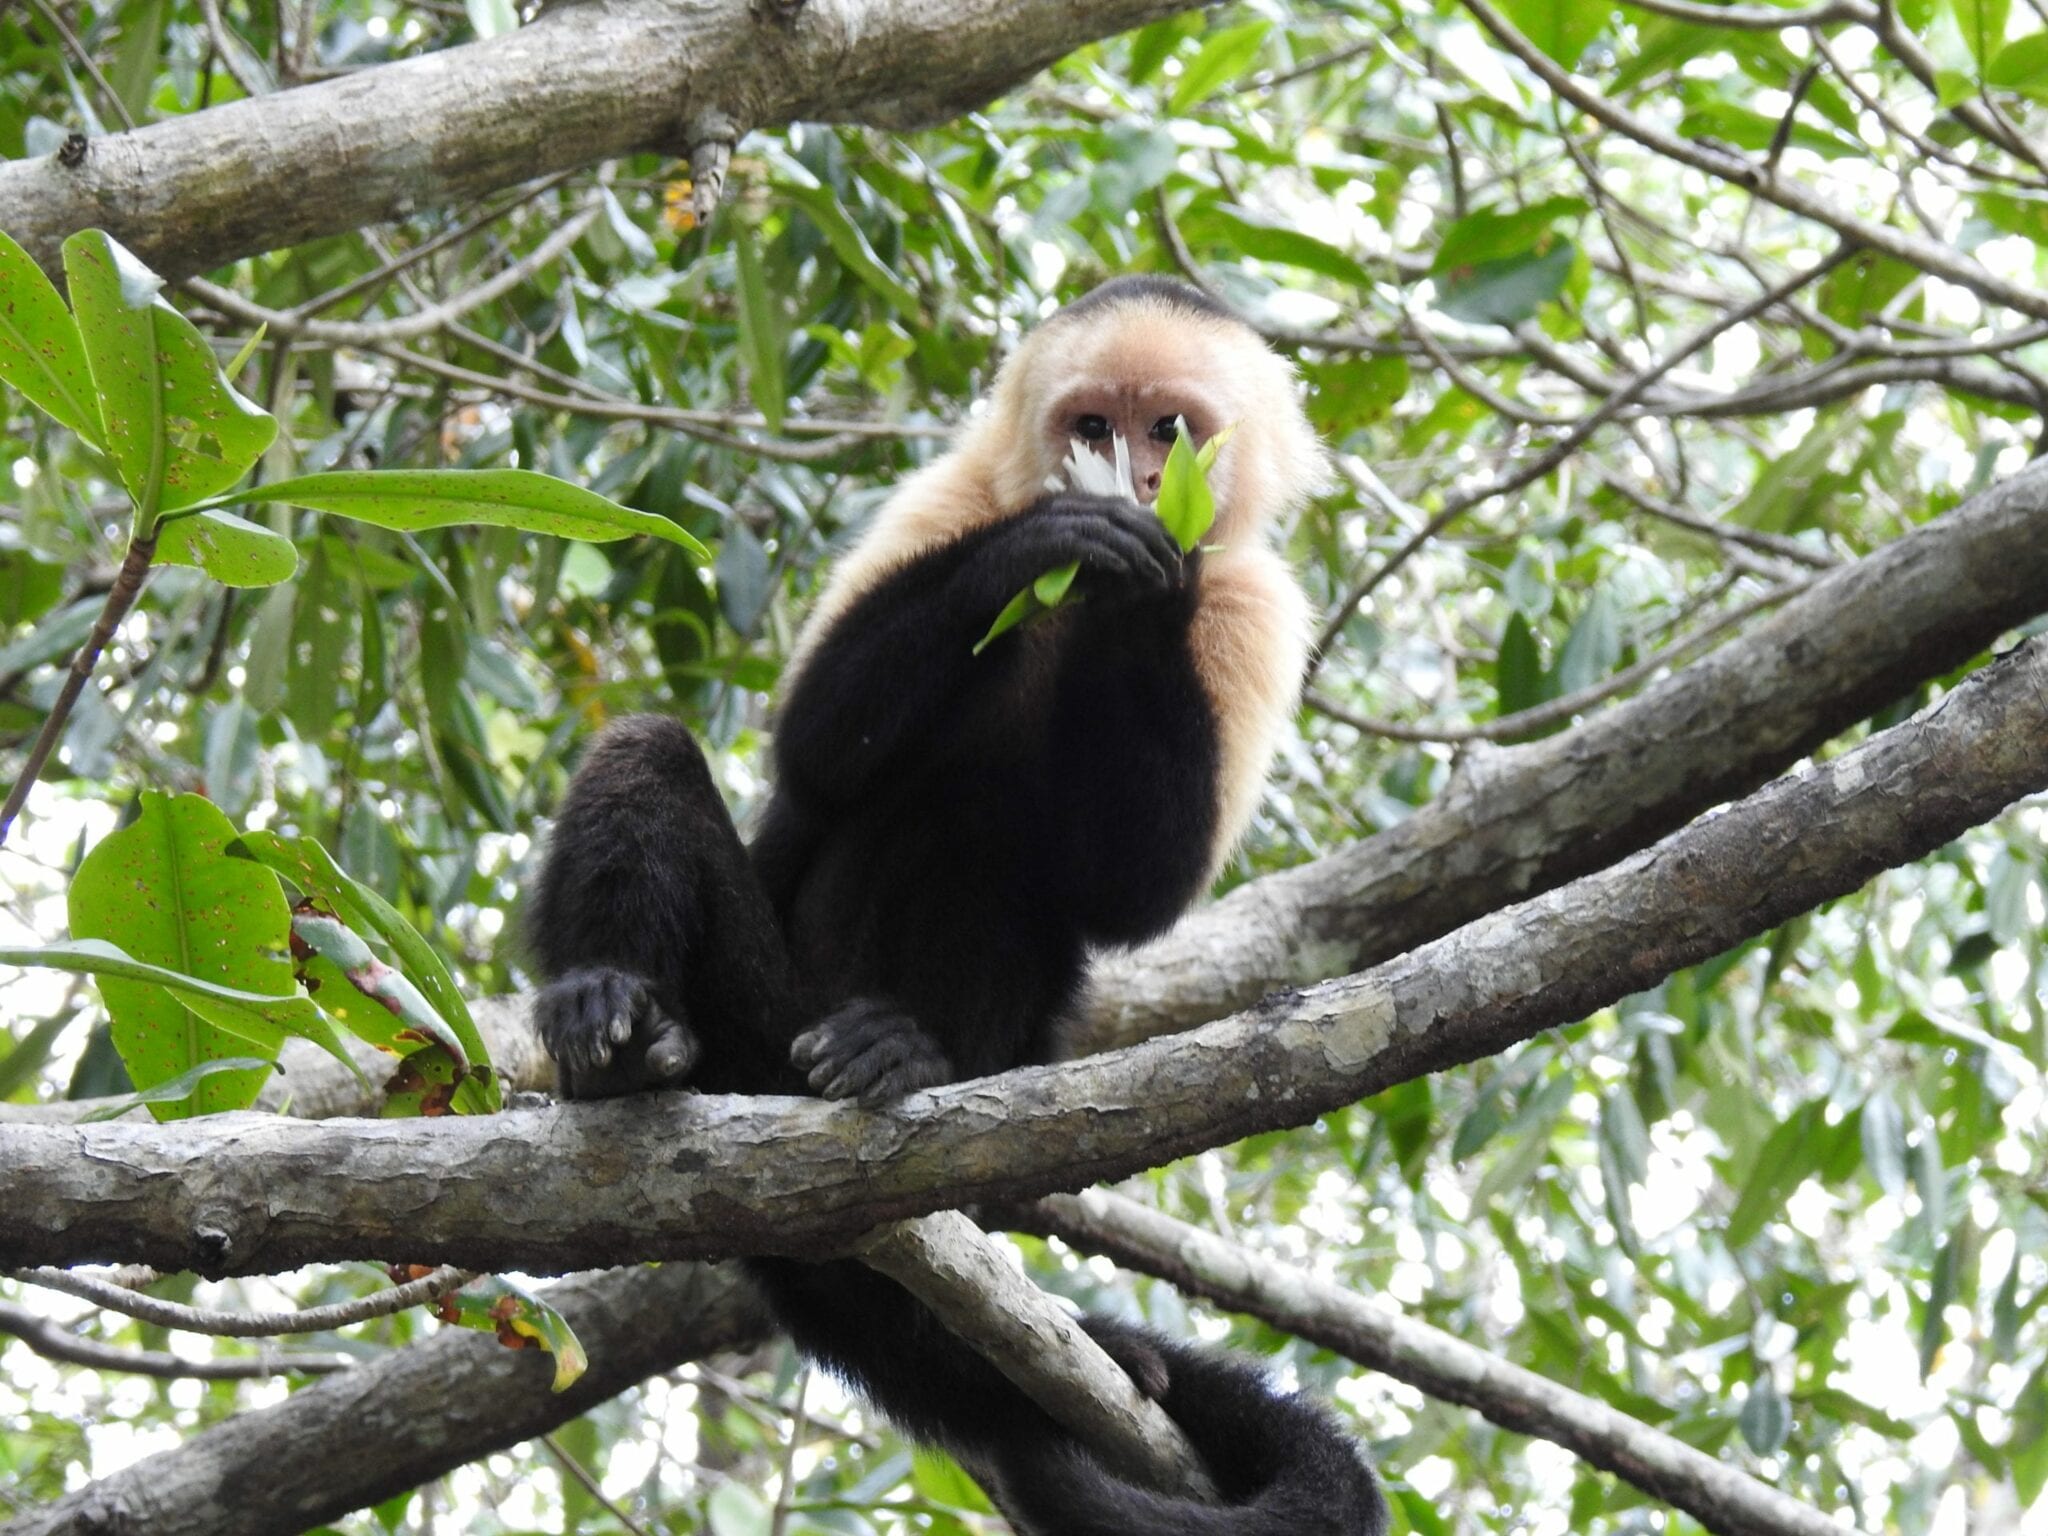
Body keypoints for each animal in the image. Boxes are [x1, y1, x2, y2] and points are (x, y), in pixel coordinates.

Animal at [528, 276, 1392, 1536]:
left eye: (1166, 431)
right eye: (1092, 426)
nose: (1134, 482)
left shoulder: (1257, 601)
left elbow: (1130, 892)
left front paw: (1148, 582)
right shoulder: (944, 498)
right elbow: (817, 747)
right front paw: (1053, 544)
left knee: (1000, 856)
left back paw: (903, 1055)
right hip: (760, 1007)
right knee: (704, 764)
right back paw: (616, 1020)